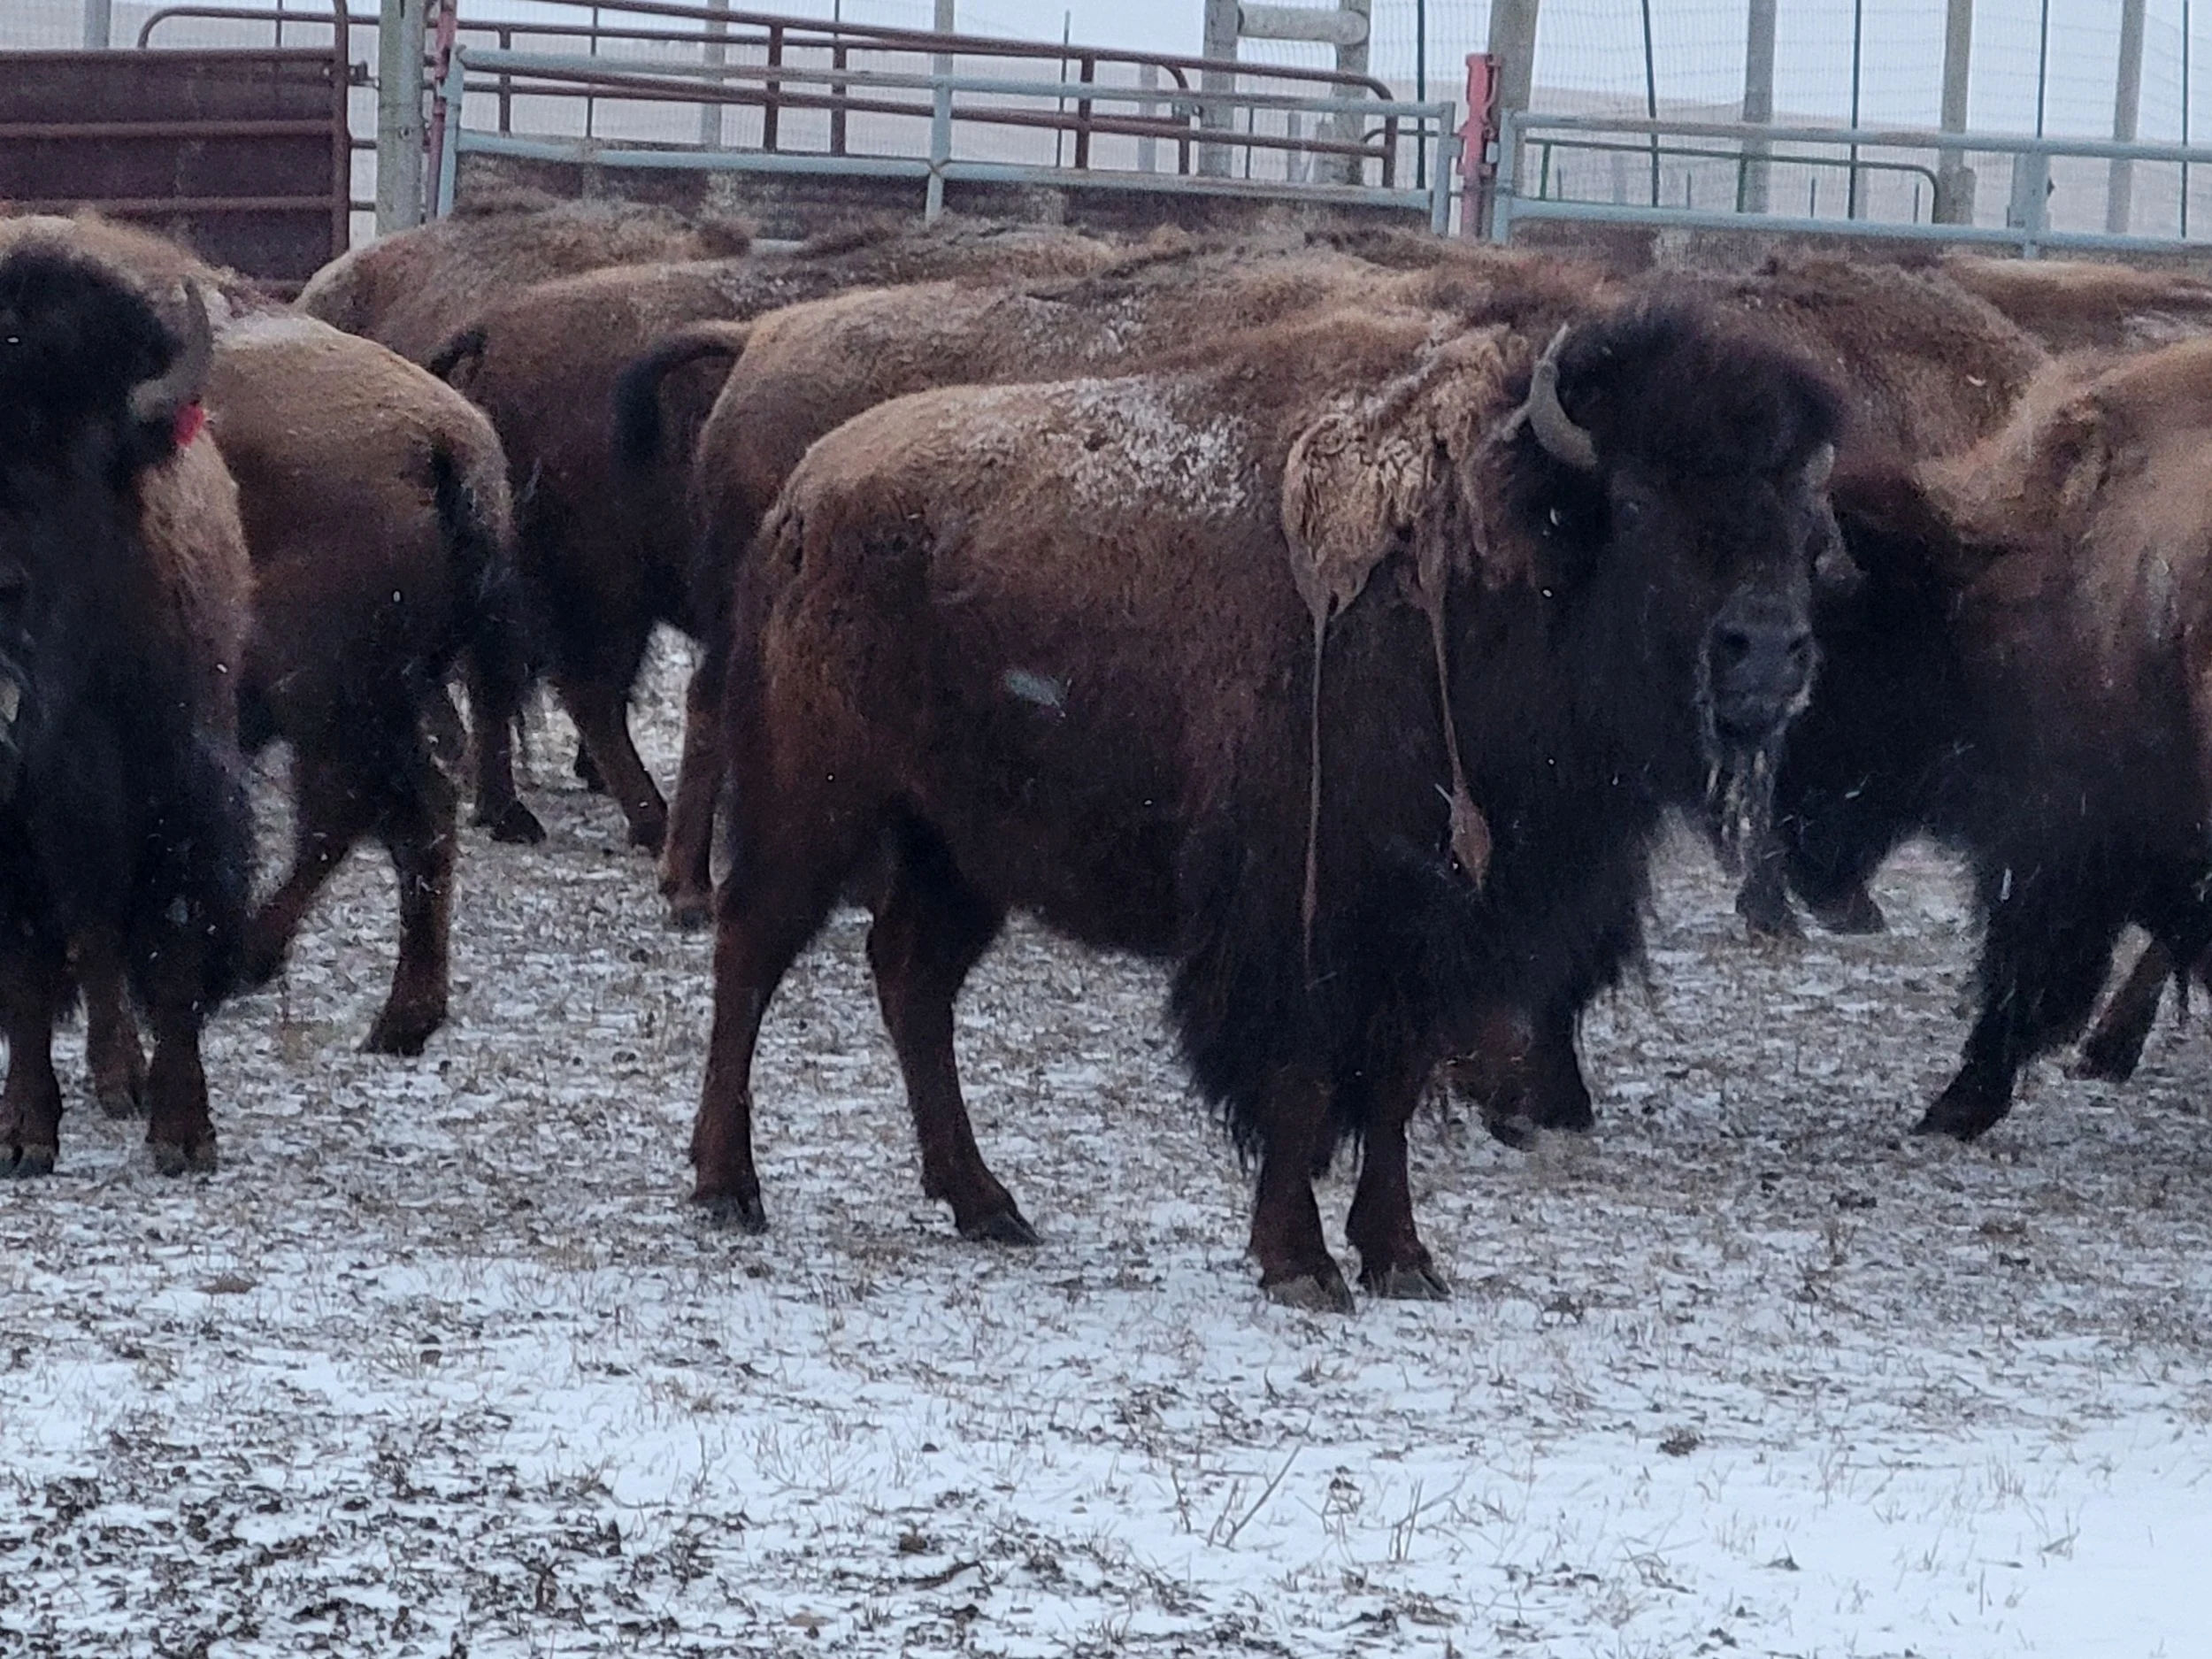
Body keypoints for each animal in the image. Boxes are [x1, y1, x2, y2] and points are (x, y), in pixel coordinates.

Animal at [692, 297, 1842, 1308]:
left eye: (1797, 521)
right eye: (1638, 503)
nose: (1768, 650)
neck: (1491, 565)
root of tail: (805, 497)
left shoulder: (1424, 938)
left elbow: (1390, 1091)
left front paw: (1401, 1260)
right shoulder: (1301, 920)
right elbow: (1299, 1086)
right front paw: (1299, 1264)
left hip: (962, 850)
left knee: (911, 979)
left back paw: (986, 1204)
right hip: (815, 808)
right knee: (751, 951)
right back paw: (728, 1188)